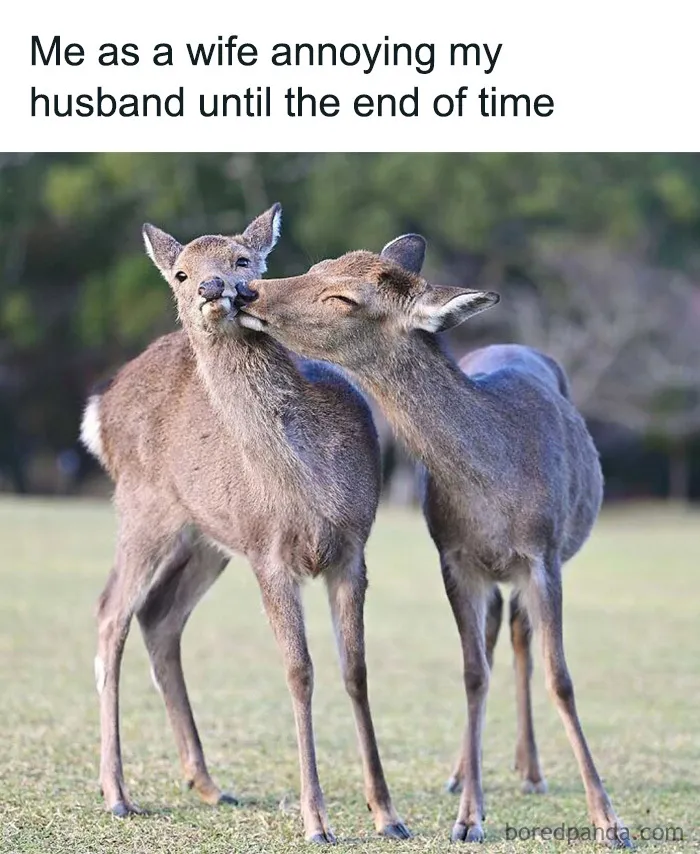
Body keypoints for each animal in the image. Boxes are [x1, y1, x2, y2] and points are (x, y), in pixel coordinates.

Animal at [78, 205, 411, 844]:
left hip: (208, 538)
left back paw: (207, 783)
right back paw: (117, 794)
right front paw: (316, 822)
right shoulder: (269, 554)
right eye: (180, 273)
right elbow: (299, 670)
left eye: (243, 260)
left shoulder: (352, 549)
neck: (307, 485)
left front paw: (387, 814)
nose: (214, 289)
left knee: (160, 616)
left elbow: (355, 670)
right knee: (111, 612)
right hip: (144, 508)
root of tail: (98, 412)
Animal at [235, 234, 632, 848]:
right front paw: (468, 818)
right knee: (495, 638)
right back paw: (464, 774)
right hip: (489, 574)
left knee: (519, 637)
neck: (497, 487)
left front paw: (610, 822)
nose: (247, 291)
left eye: (344, 297)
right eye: (319, 265)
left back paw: (532, 772)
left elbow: (561, 678)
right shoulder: (454, 558)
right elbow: (472, 673)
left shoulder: (544, 555)